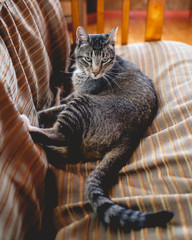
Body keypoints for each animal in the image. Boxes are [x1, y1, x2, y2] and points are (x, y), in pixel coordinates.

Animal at [27, 25, 173, 231]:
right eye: (88, 58)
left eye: (104, 59)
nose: (96, 72)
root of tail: (130, 137)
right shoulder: (73, 94)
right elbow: (58, 103)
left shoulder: (77, 97)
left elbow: (54, 109)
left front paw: (39, 115)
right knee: (68, 151)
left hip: (81, 106)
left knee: (60, 135)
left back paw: (29, 127)